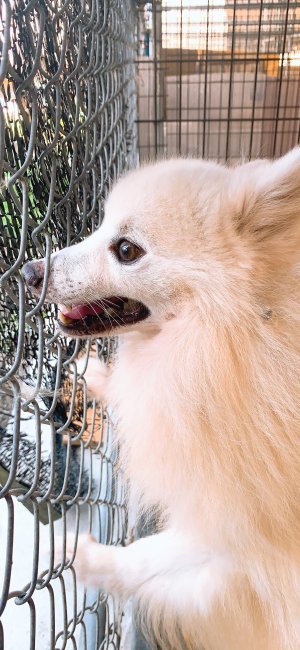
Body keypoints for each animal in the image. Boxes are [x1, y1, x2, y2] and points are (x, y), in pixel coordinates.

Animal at [22, 152, 300, 648]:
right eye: (100, 226)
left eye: (126, 250)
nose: (30, 273)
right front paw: (97, 377)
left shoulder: (241, 523)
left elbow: (150, 555)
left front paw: (85, 558)